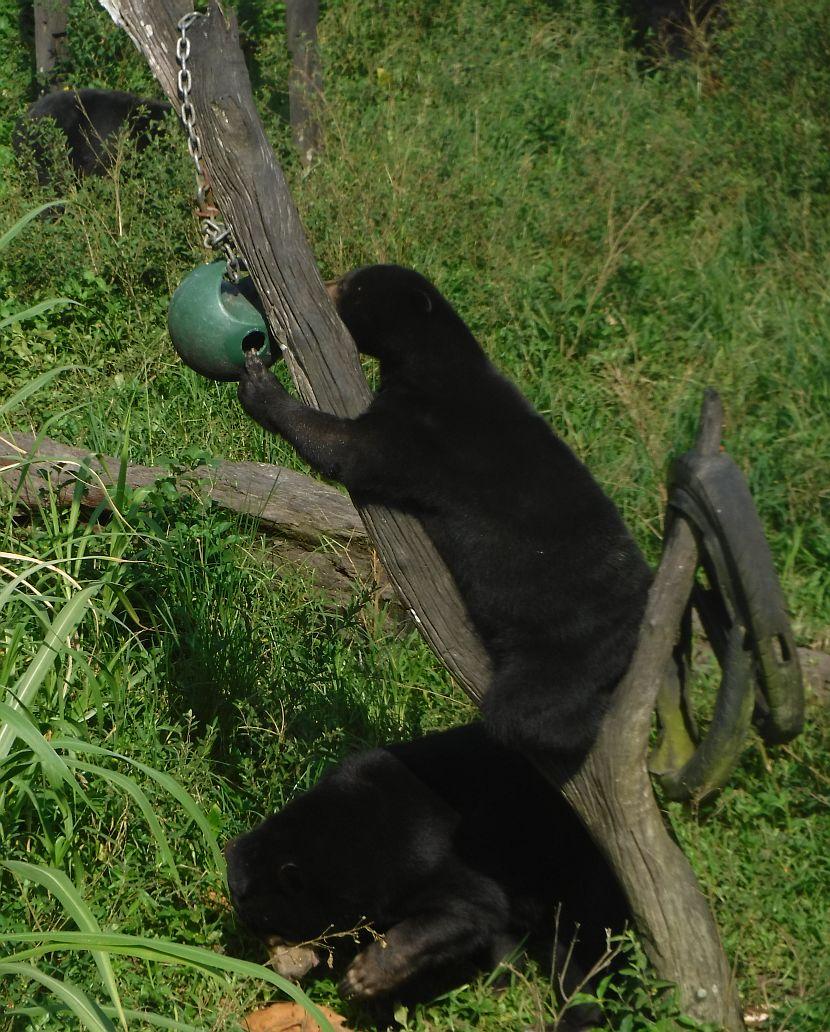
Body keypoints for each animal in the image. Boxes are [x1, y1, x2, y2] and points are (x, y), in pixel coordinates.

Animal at [224, 722, 627, 1027]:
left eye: (273, 929)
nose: (285, 973)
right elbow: (496, 935)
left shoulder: (430, 853)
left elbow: (471, 908)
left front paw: (360, 979)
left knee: (580, 940)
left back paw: (578, 1013)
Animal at [236, 266, 652, 759]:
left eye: (355, 285)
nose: (329, 285)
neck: (433, 361)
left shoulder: (428, 431)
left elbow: (348, 448)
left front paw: (259, 384)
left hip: (566, 643)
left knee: (532, 710)